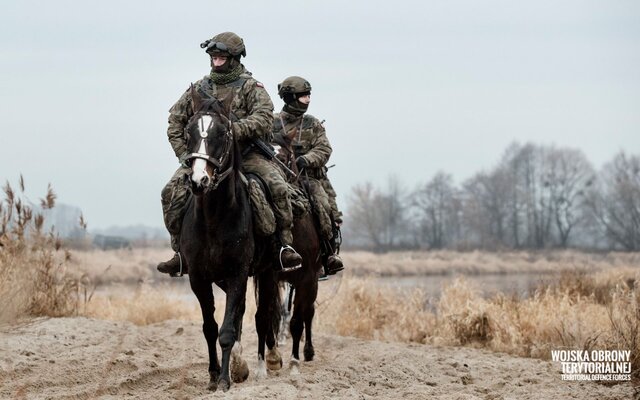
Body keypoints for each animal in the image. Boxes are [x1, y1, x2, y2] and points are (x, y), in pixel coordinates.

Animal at [179, 90, 256, 390]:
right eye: (188, 131)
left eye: (222, 133)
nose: (199, 180)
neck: (214, 218)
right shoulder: (198, 277)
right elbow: (210, 327)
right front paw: (213, 375)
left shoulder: (237, 273)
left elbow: (226, 330)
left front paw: (224, 380)